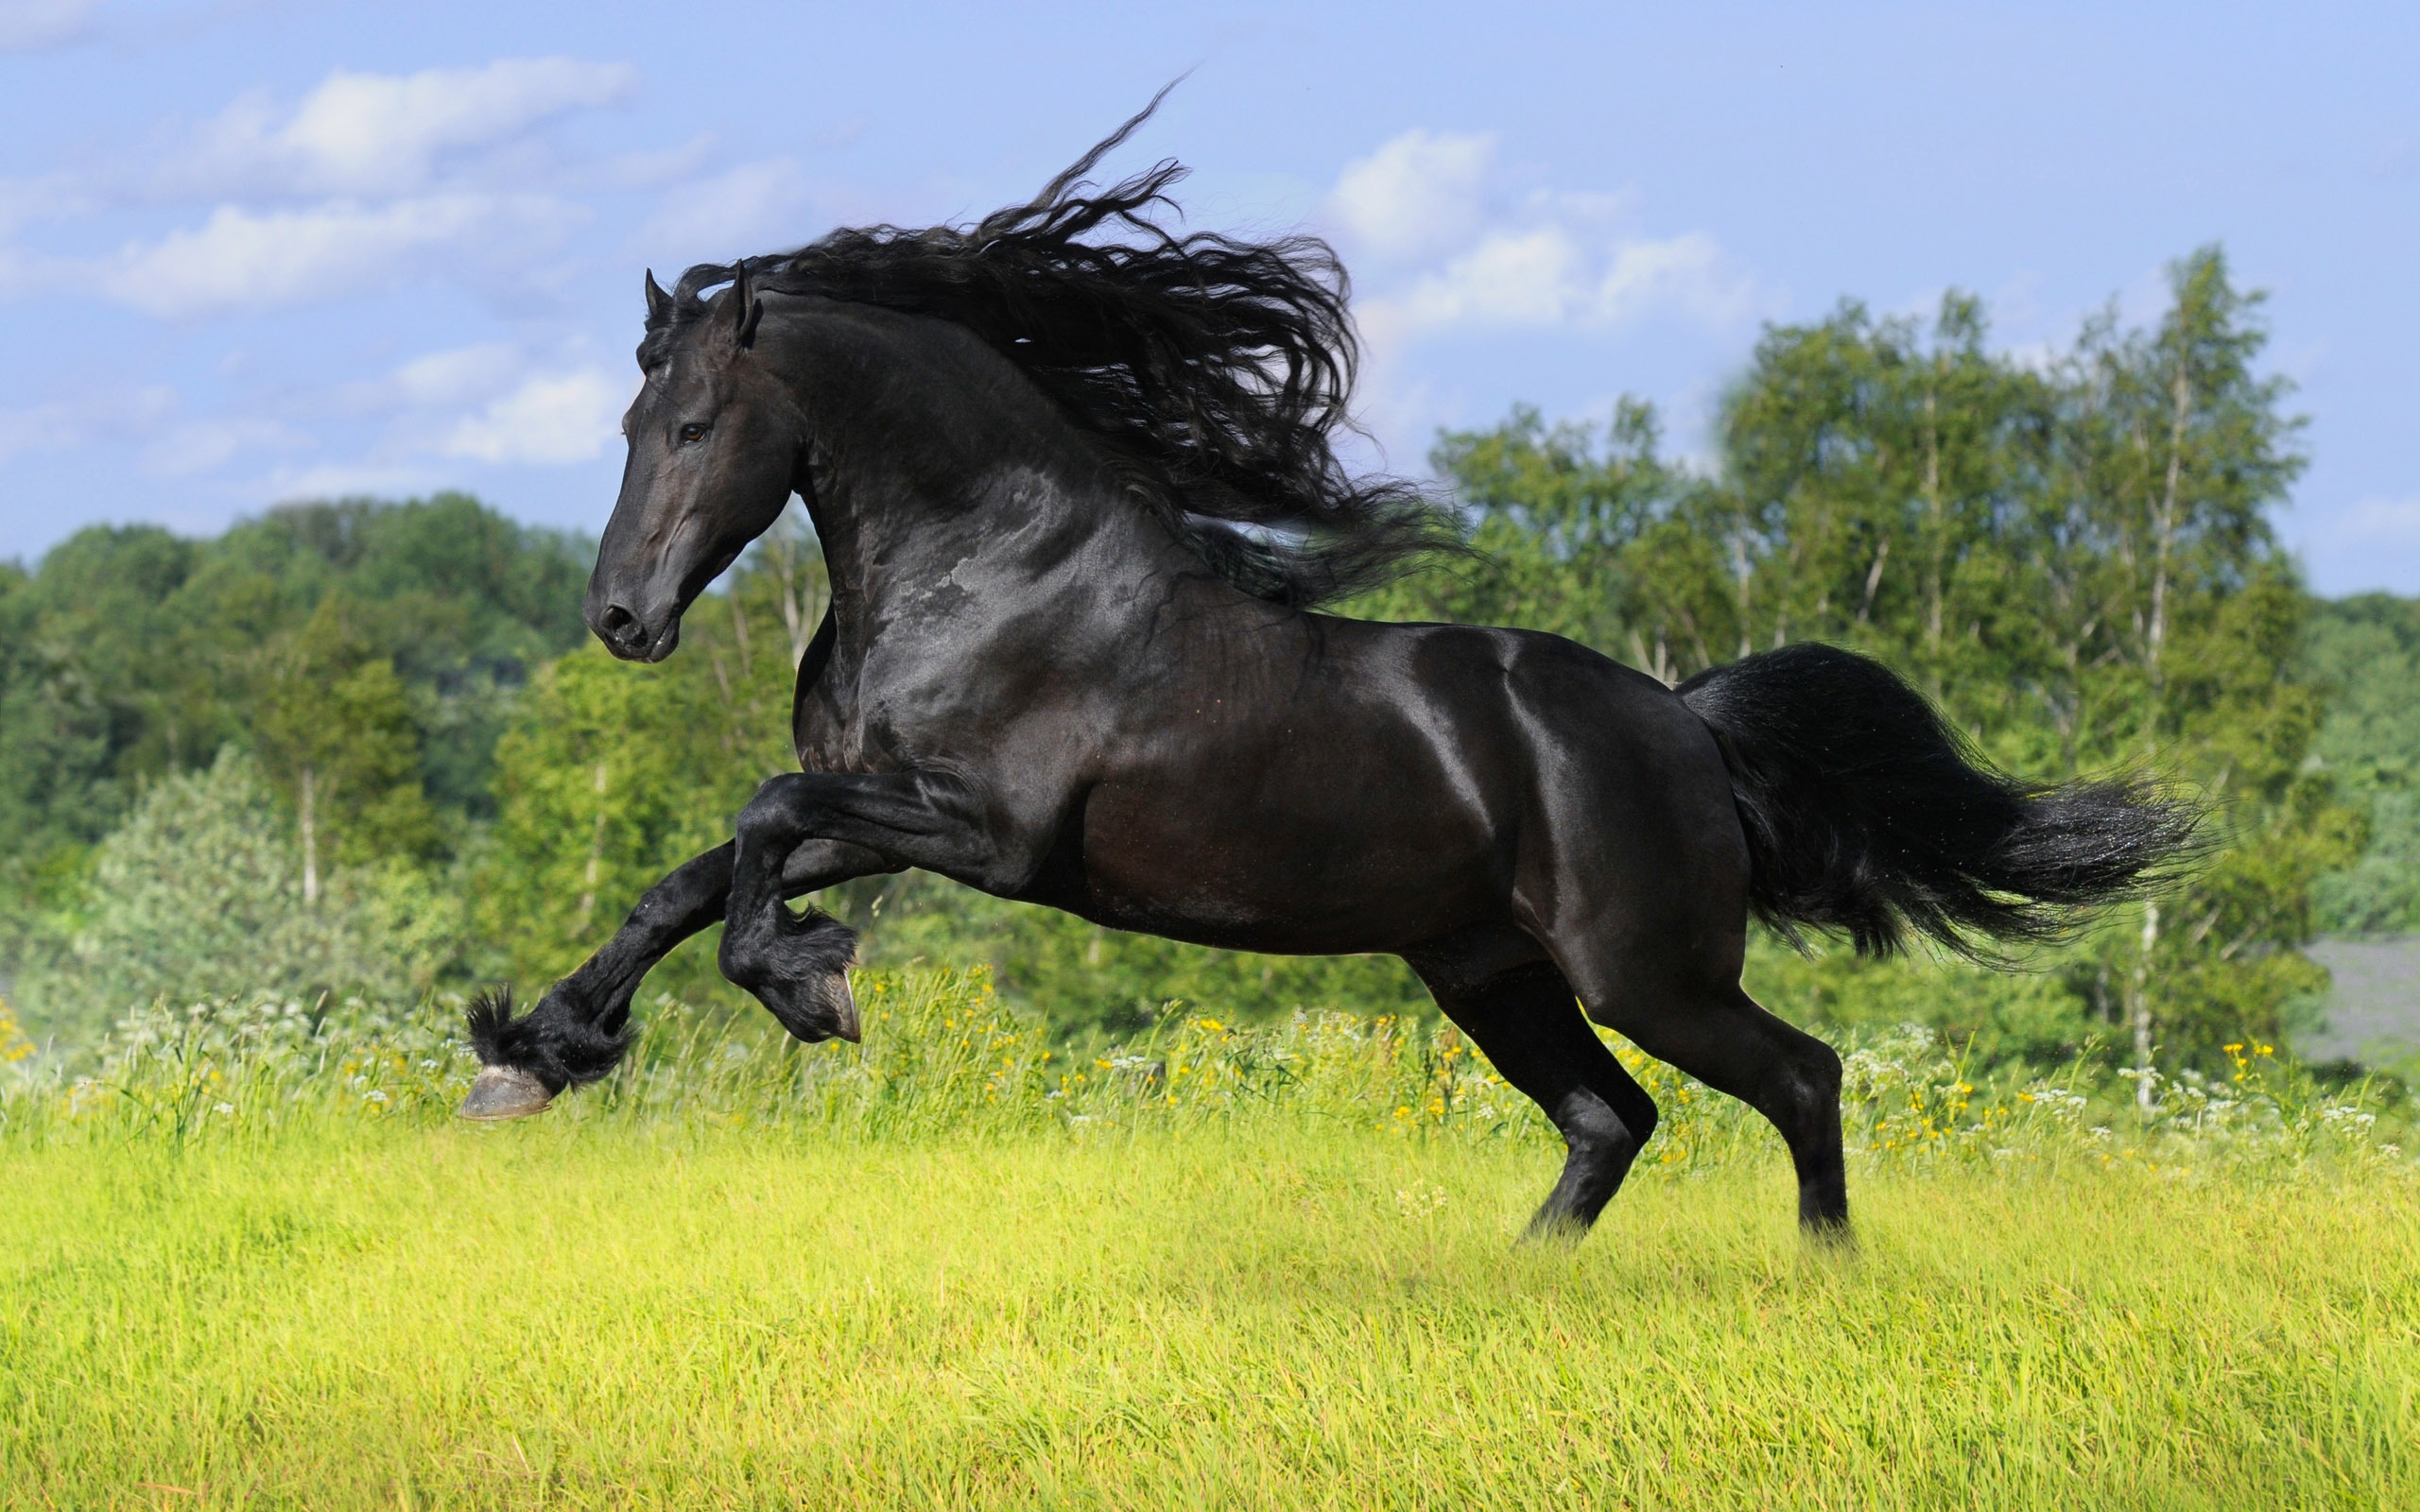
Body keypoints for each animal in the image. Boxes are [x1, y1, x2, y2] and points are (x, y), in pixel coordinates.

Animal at [461, 109, 2206, 1238]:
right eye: (629, 421)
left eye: (695, 423)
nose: (623, 619)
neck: (991, 569)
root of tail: (1687, 726)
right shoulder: (885, 804)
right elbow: (688, 878)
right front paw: (534, 1058)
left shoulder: (988, 835)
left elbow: (756, 821)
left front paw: (807, 986)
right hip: (1489, 971)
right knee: (1613, 1120)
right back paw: (1517, 1286)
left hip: (1645, 971)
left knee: (1802, 1077)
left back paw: (1819, 1278)